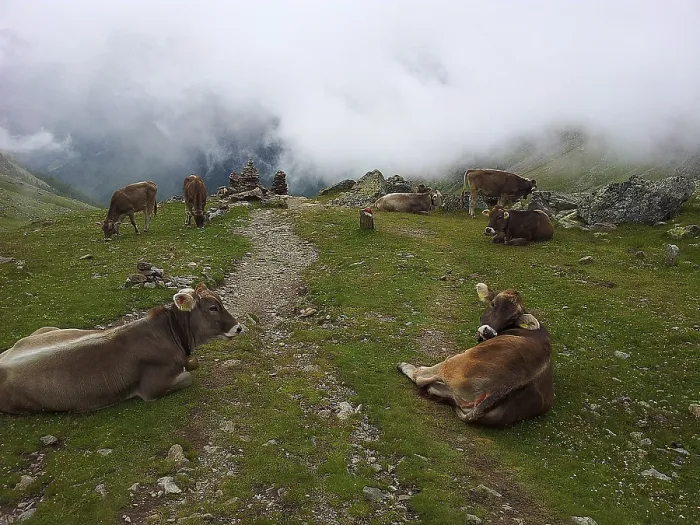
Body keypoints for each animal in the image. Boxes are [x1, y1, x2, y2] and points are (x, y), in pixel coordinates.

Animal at [398, 283, 553, 428]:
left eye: (512, 319)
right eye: (493, 304)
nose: (489, 332)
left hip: (456, 363)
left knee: (421, 378)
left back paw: (407, 366)